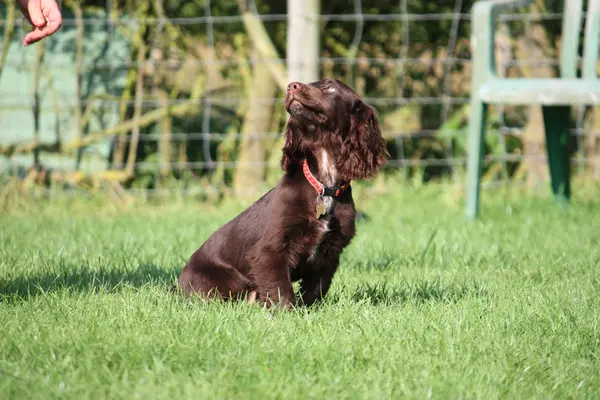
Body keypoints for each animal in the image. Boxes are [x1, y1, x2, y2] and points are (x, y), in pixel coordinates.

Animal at [176, 79, 386, 310]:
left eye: (330, 87)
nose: (292, 85)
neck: (323, 185)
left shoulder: (331, 252)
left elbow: (317, 287)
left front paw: (309, 309)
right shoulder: (270, 249)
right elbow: (280, 288)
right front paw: (287, 313)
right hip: (224, 279)